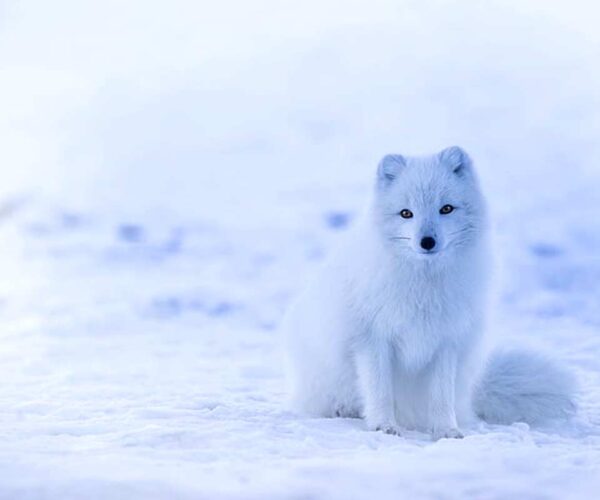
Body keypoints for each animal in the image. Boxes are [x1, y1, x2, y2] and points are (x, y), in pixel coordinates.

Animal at [286, 147, 576, 438]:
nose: (427, 241)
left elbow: (441, 395)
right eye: (406, 213)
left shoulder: (446, 341)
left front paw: (446, 430)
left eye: (446, 209)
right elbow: (379, 390)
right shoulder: (371, 339)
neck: (424, 286)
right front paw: (384, 426)